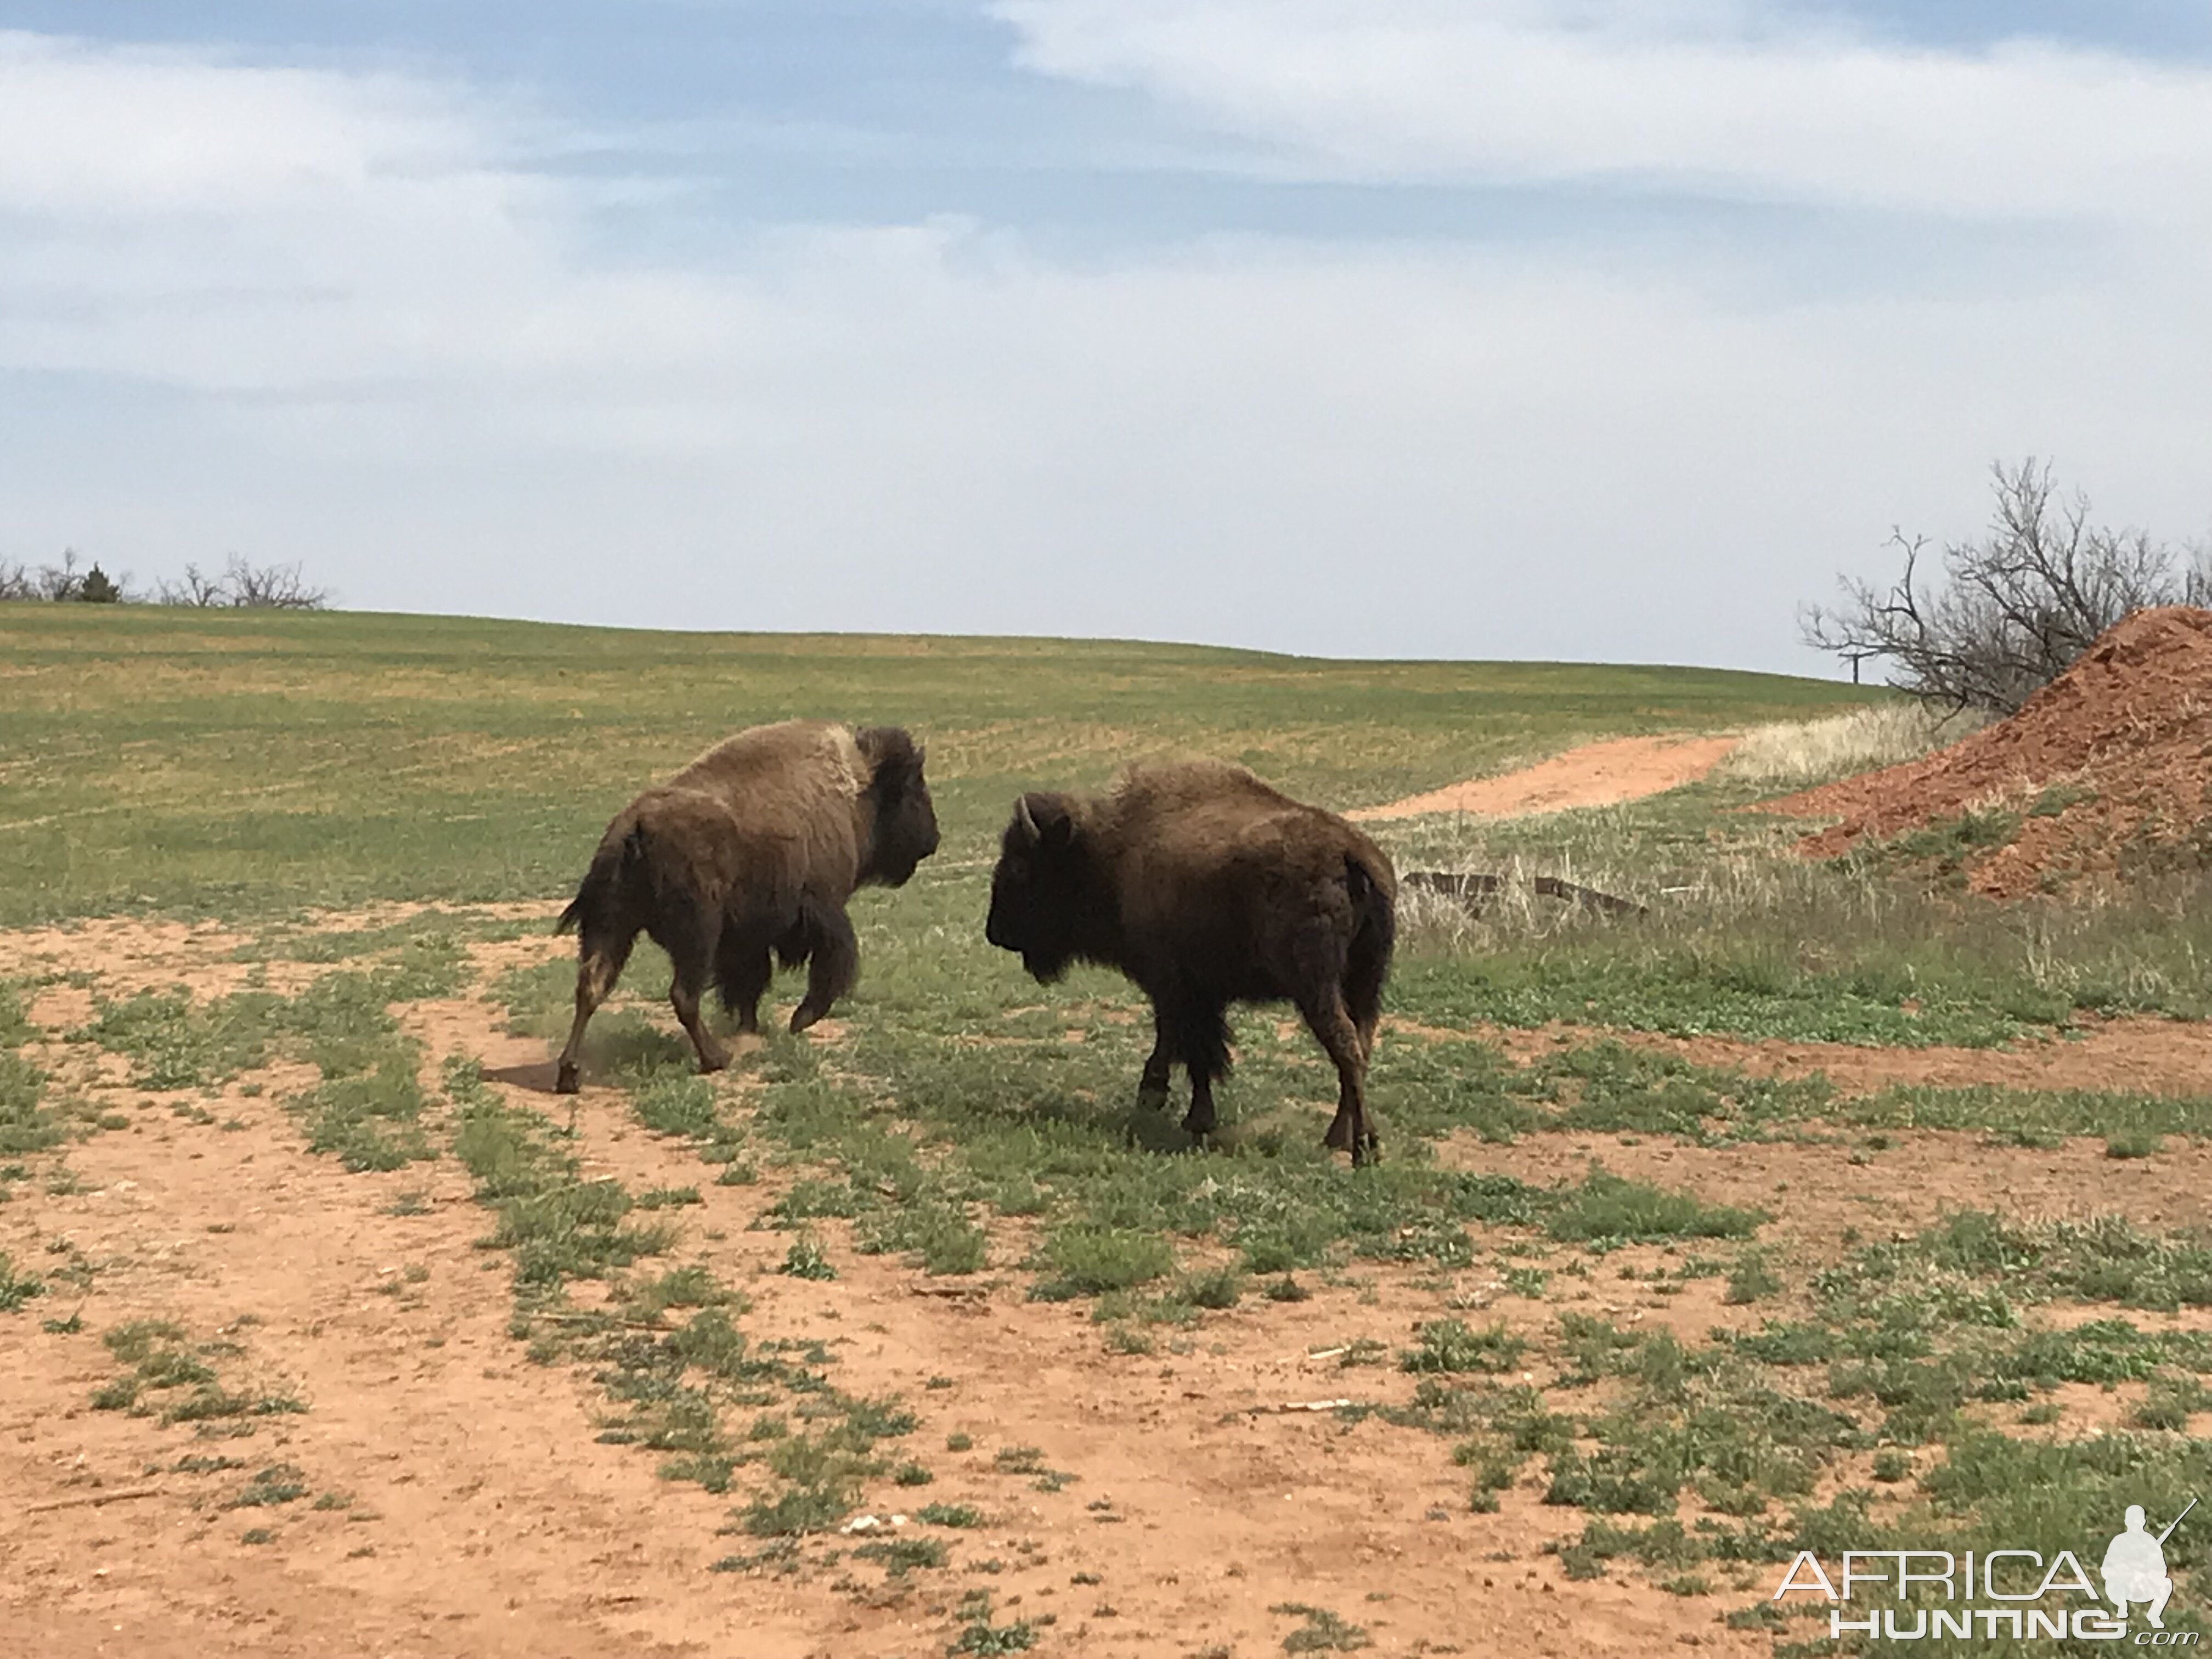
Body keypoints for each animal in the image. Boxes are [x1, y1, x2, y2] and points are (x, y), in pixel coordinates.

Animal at [557, 725, 938, 1092]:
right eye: (914, 790)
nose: (932, 841)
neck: (856, 788)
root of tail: (634, 826)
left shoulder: (746, 938)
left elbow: (749, 984)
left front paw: (750, 1029)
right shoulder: (821, 910)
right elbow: (830, 965)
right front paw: (800, 1020)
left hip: (612, 928)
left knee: (591, 986)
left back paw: (569, 1074)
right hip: (696, 936)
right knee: (683, 994)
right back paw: (716, 1059)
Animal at [991, 761, 1398, 1159]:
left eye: (1020, 867)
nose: (994, 932)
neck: (1111, 849)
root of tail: (1350, 853)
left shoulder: (1173, 983)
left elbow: (1192, 1048)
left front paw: (1184, 1113)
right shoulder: (1197, 990)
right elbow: (1190, 1045)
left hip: (1316, 985)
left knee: (1345, 1044)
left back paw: (1364, 1148)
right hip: (1364, 981)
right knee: (1360, 1045)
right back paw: (1338, 1137)